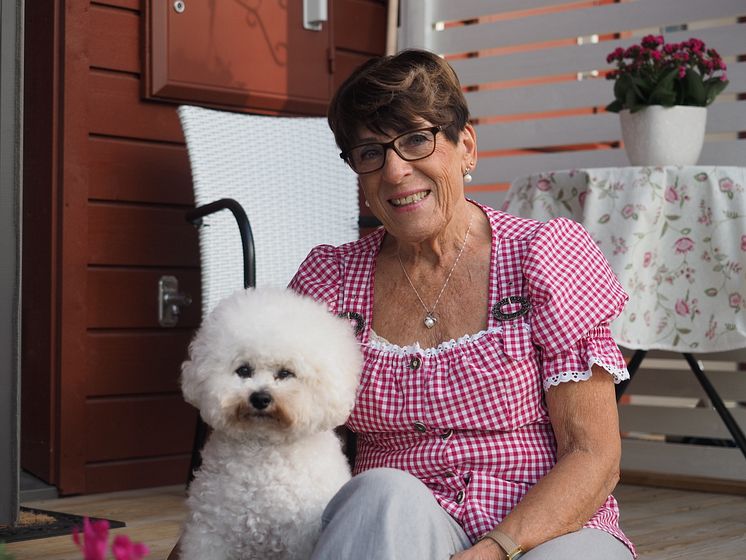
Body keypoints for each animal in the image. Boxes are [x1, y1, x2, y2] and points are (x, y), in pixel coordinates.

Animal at [176, 288, 358, 560]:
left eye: (286, 373)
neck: (263, 450)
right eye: (243, 370)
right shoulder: (211, 533)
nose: (260, 398)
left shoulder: (300, 539)